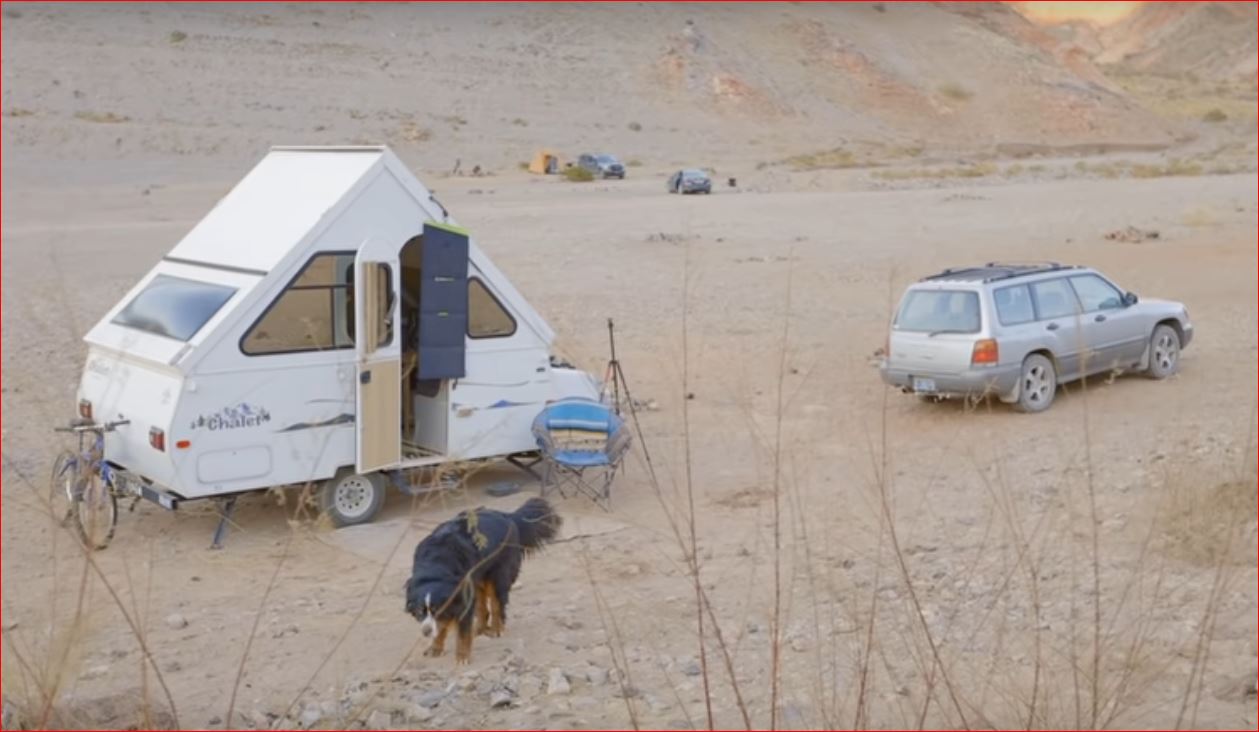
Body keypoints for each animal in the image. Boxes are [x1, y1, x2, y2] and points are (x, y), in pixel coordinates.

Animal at [402, 496, 561, 660]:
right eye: (420, 611)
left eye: (439, 610)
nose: (425, 631)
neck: (436, 565)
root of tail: (509, 516)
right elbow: (442, 625)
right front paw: (435, 647)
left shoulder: (461, 597)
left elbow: (460, 629)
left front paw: (462, 656)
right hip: (478, 577)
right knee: (482, 605)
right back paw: (480, 629)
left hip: (498, 575)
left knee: (496, 604)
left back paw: (496, 629)